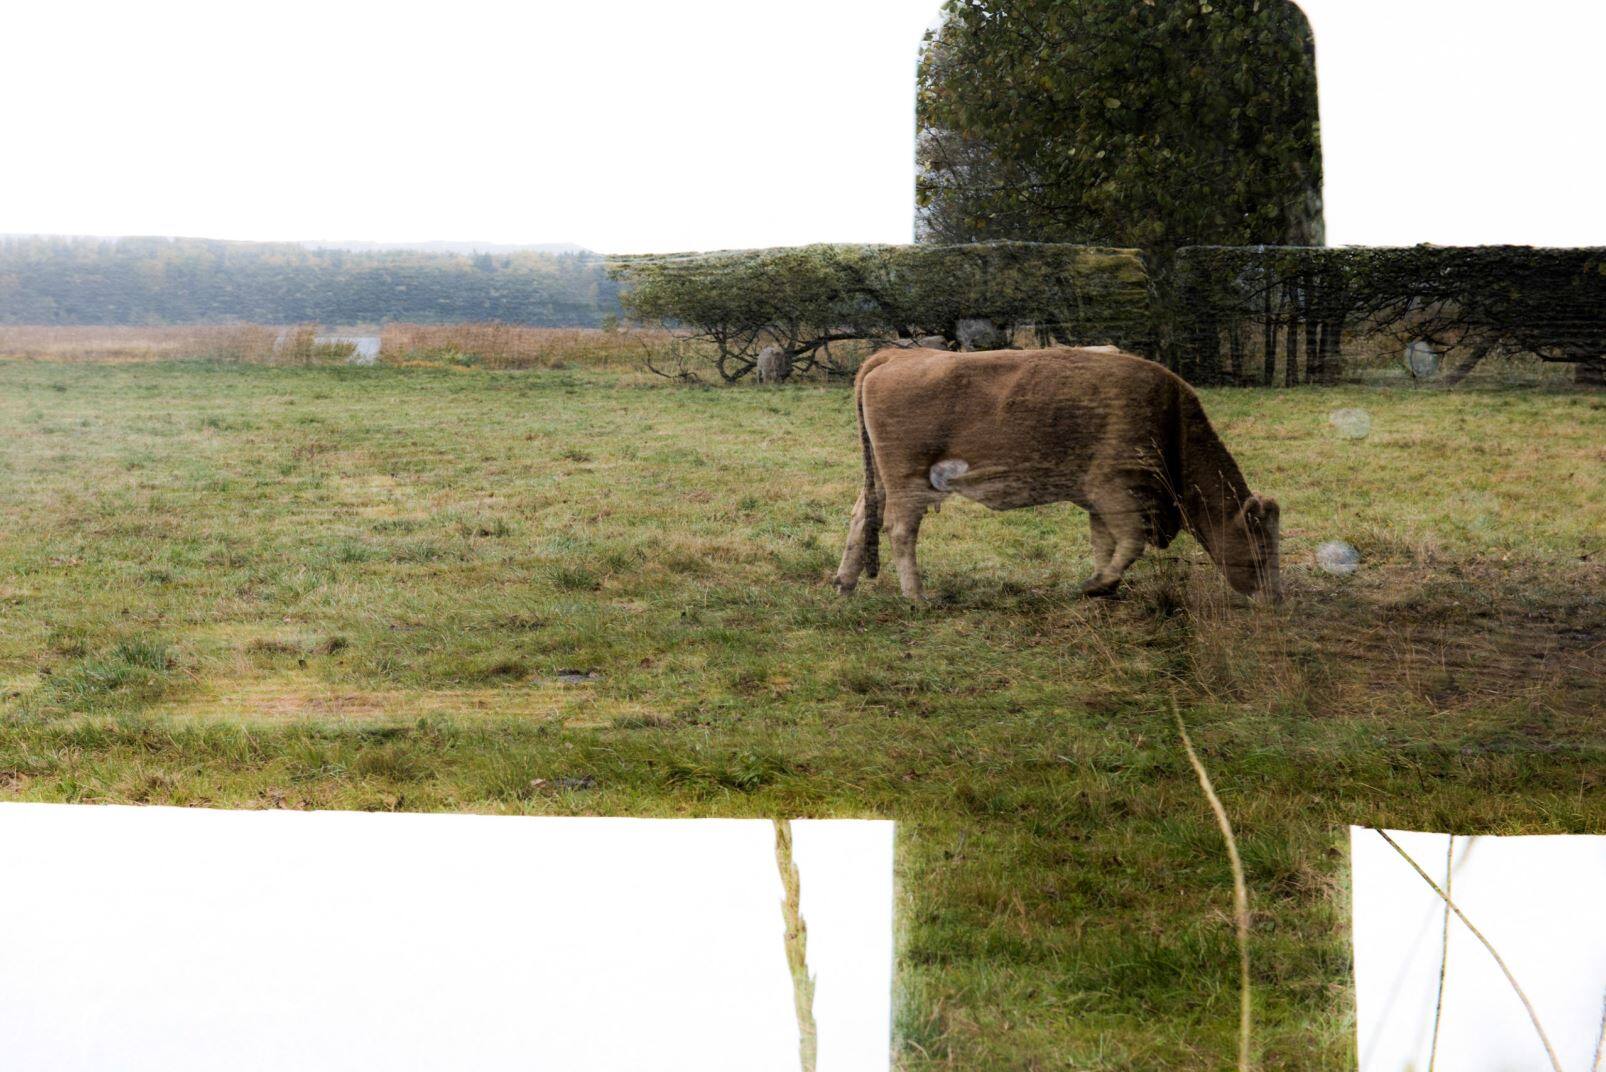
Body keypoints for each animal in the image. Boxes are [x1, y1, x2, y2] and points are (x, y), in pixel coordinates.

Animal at [832, 346, 1282, 601]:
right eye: (1261, 547)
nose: (1274, 597)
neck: (1170, 419)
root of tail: (895, 356)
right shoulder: (1114, 491)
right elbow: (1131, 543)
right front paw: (1099, 585)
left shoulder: (1098, 500)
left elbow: (1105, 544)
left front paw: (1103, 584)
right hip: (909, 483)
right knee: (900, 531)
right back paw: (917, 597)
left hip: (883, 482)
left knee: (861, 517)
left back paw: (845, 583)